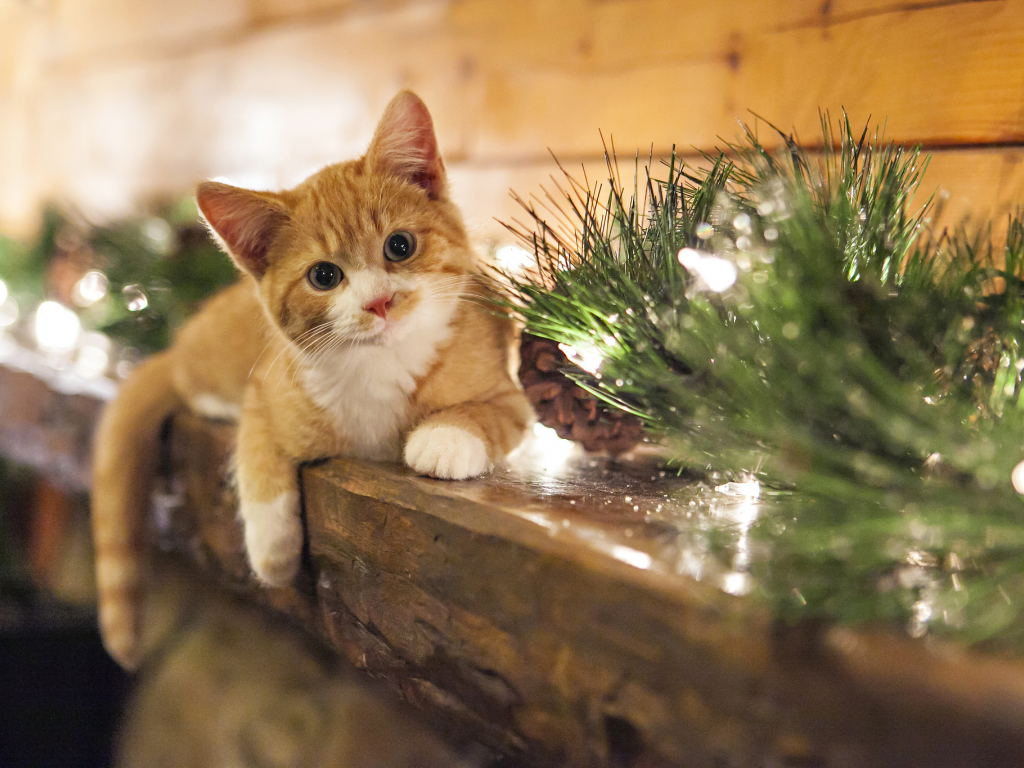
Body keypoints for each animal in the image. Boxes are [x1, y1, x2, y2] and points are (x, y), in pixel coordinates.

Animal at [92, 88, 532, 667]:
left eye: (400, 246)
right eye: (324, 276)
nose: (379, 302)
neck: (381, 366)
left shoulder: (512, 391)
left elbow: (491, 412)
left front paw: (445, 438)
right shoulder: (267, 388)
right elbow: (257, 452)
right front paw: (272, 548)